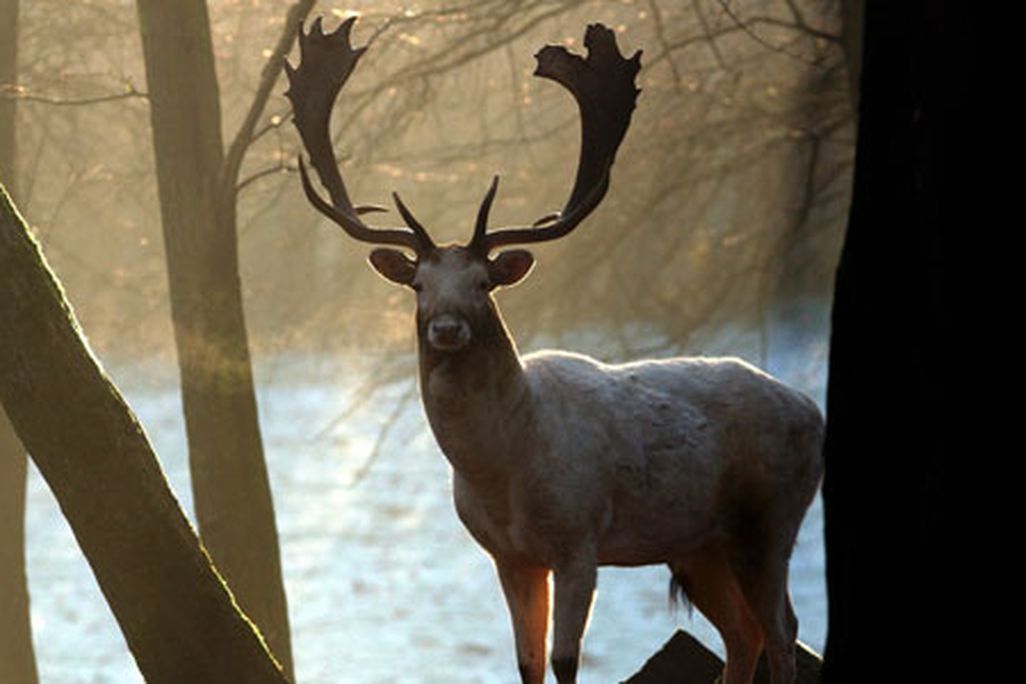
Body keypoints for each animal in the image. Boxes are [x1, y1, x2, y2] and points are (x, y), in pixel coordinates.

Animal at [285, 16, 824, 684]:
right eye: (418, 285)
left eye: (483, 283)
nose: (446, 328)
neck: (505, 475)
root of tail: (812, 408)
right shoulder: (508, 556)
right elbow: (527, 663)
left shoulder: (579, 540)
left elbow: (566, 662)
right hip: (699, 543)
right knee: (743, 634)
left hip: (771, 518)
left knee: (783, 632)